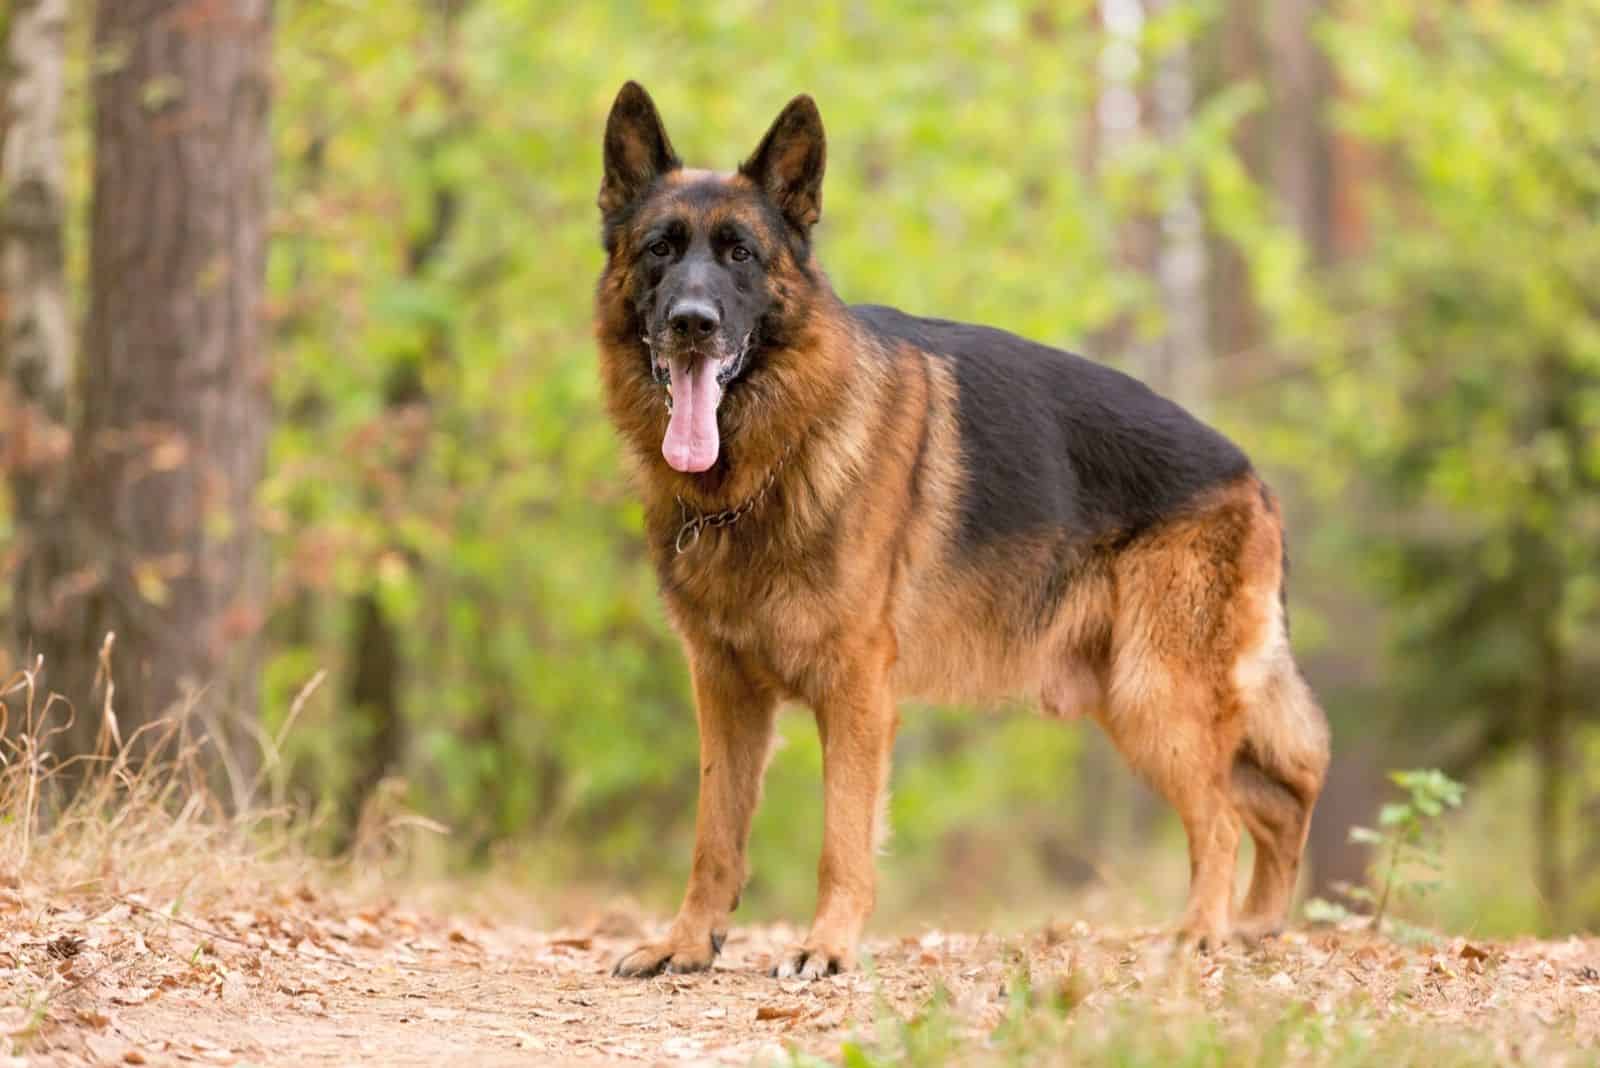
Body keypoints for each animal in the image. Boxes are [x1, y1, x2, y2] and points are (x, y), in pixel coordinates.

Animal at [595, 83, 1331, 978]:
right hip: (1133, 703)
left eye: (740, 254)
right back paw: (1255, 926)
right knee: (1277, 795)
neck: (769, 464)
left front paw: (827, 945)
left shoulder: (856, 690)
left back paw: (1202, 932)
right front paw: (687, 942)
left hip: (1155, 697)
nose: (693, 323)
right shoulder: (726, 689)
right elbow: (715, 836)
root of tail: (1250, 473)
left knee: (1227, 814)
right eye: (661, 249)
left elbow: (842, 838)